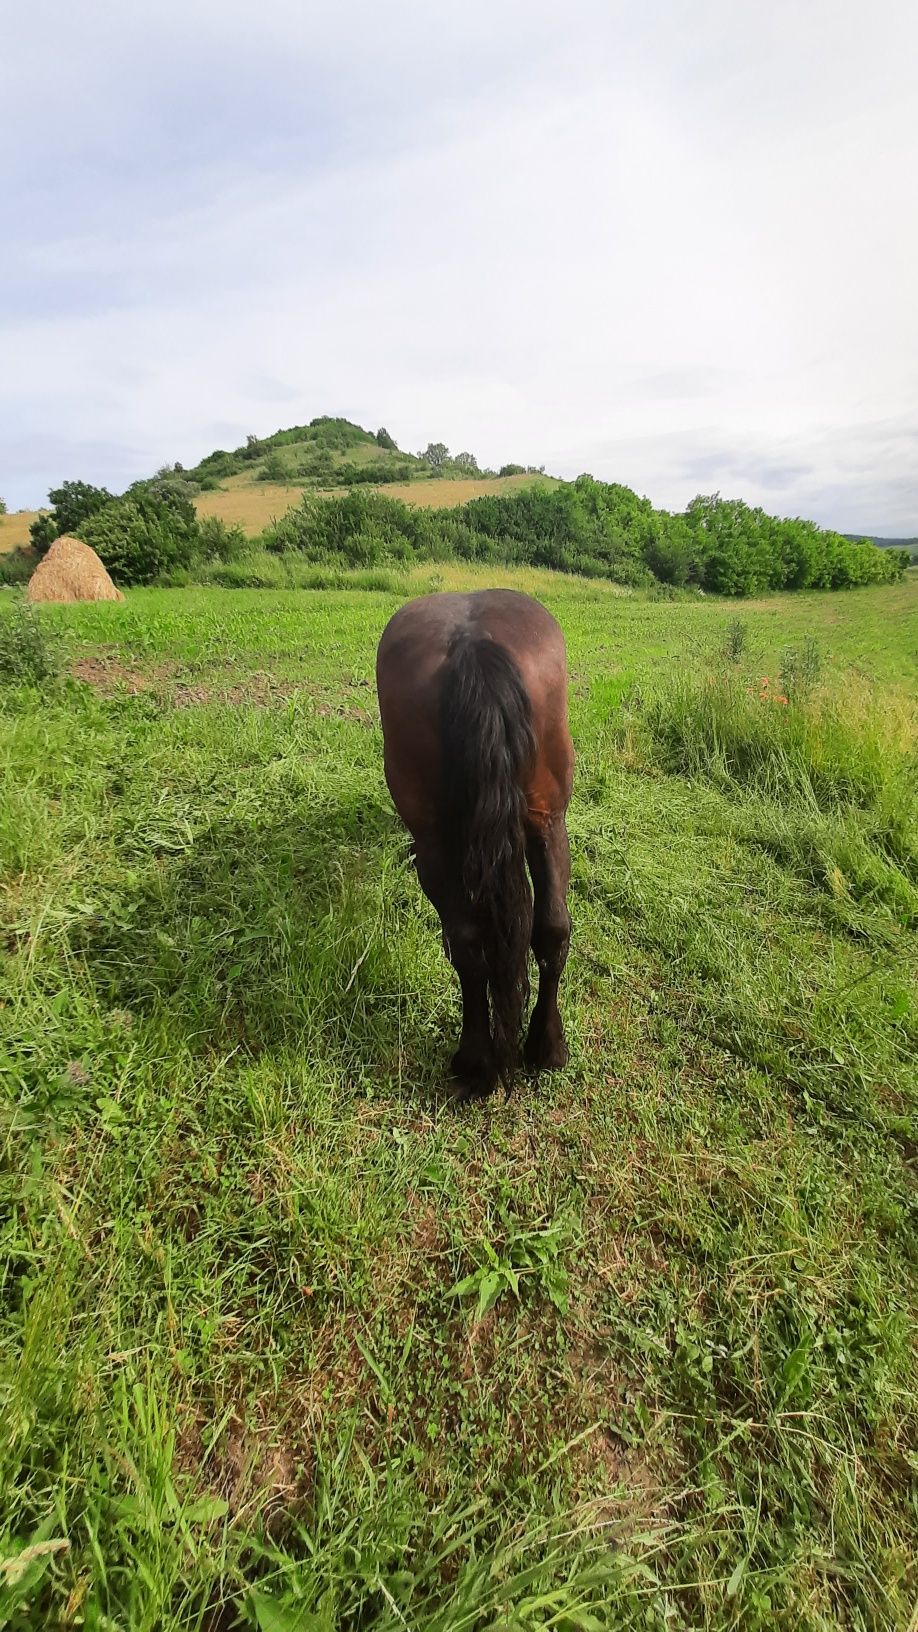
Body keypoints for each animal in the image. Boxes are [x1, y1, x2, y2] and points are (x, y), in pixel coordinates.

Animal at [374, 587, 571, 1096]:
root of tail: (472, 642)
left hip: (435, 843)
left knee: (466, 945)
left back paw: (476, 1061)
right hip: (549, 818)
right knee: (551, 927)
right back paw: (545, 1047)